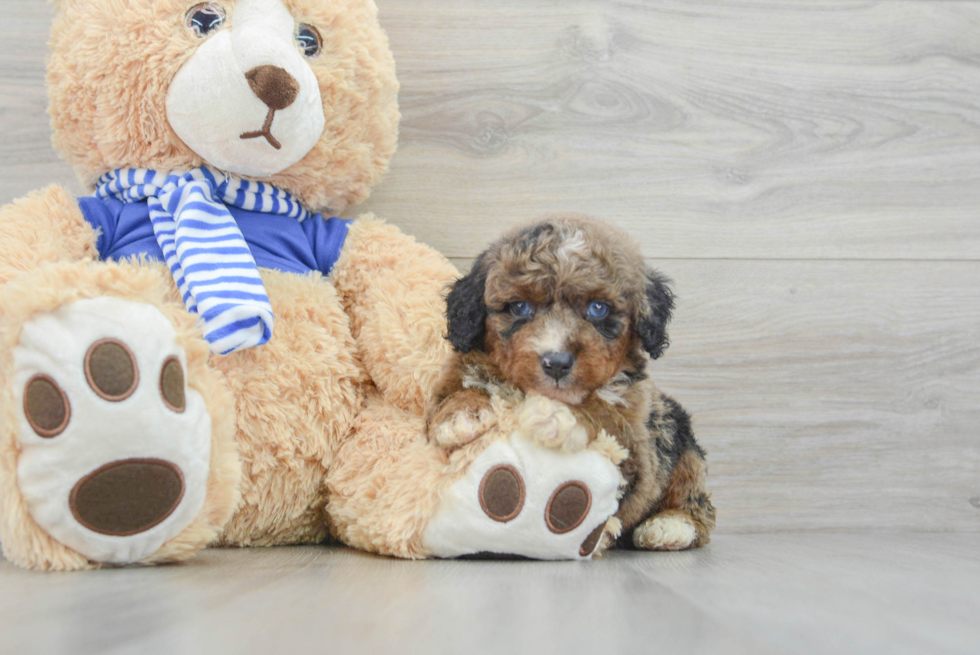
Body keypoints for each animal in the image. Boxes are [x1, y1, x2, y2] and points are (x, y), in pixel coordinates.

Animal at [424, 215, 716, 552]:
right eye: (520, 307)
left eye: (598, 308)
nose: (557, 363)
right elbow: (459, 390)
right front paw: (460, 415)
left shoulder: (638, 447)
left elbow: (606, 416)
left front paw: (557, 417)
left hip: (681, 441)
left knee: (696, 500)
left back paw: (670, 526)